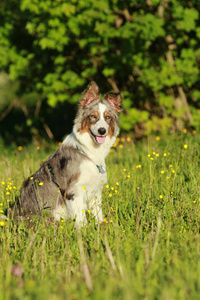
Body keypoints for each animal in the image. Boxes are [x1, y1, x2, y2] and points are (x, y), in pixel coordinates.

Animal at [13, 82, 122, 227]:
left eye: (108, 117)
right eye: (93, 116)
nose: (102, 130)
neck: (87, 152)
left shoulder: (95, 191)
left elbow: (98, 215)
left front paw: (101, 227)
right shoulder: (73, 191)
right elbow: (81, 220)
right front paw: (83, 231)